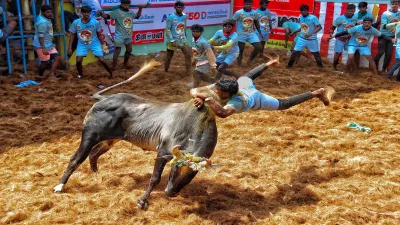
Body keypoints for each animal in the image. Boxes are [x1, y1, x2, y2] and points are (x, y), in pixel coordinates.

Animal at [53, 61, 217, 209]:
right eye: (175, 167)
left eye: (191, 174)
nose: (171, 192)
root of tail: (104, 99)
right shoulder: (162, 151)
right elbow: (155, 178)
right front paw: (142, 201)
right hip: (89, 136)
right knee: (76, 159)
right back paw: (59, 186)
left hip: (110, 140)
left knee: (93, 154)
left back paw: (98, 176)